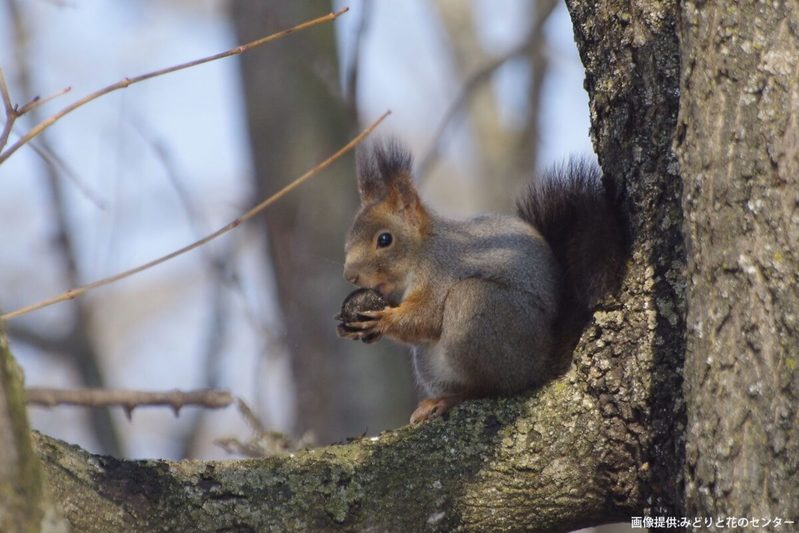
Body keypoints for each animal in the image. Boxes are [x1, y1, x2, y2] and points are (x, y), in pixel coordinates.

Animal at [334, 140, 628, 424]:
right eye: (349, 237)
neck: (421, 251)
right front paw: (349, 324)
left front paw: (382, 320)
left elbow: (426, 316)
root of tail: (540, 362)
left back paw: (450, 399)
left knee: (489, 387)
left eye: (385, 239)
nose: (350, 275)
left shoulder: (441, 269)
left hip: (478, 310)